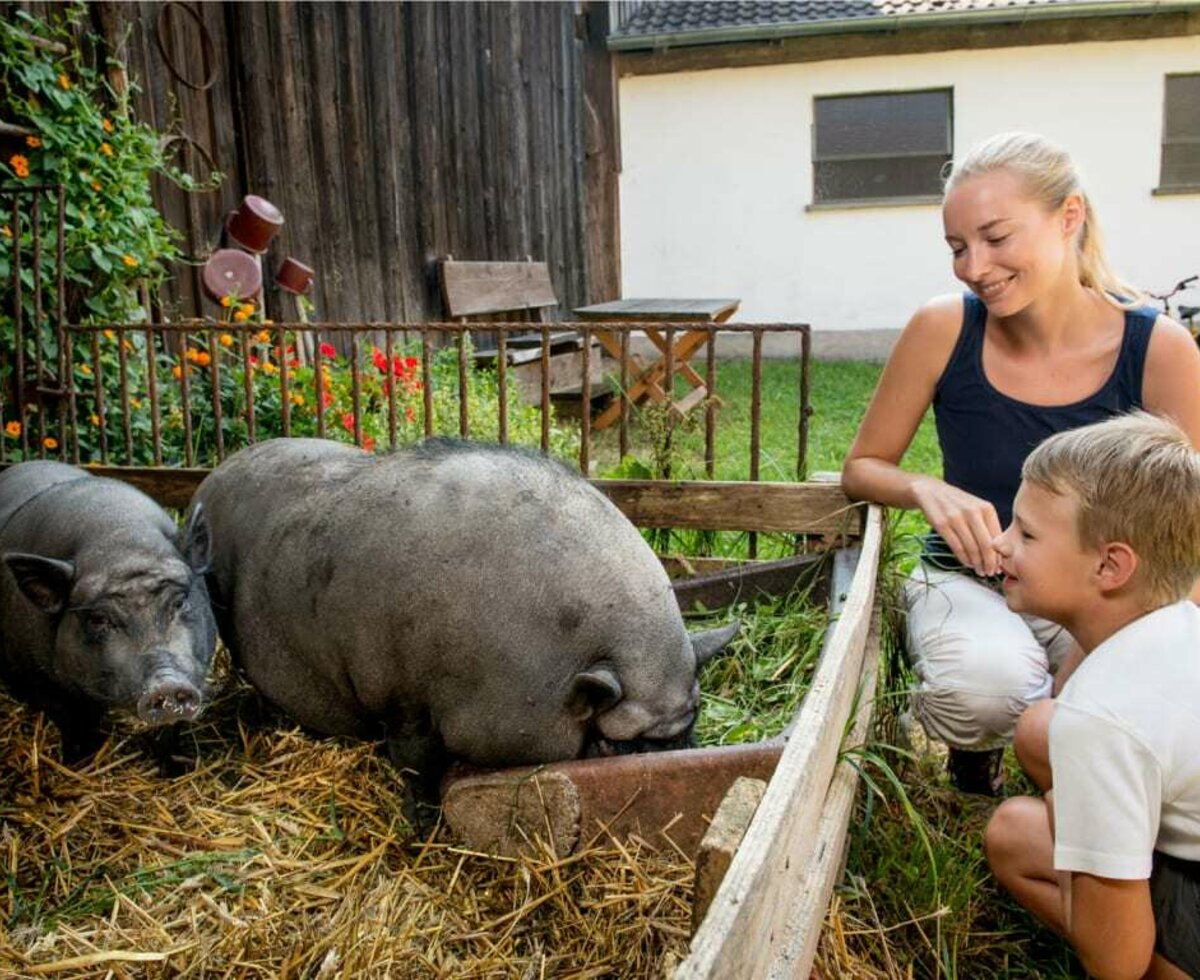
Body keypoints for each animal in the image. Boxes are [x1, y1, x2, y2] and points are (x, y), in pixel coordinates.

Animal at [0, 460, 218, 758]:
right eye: (98, 618)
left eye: (180, 602)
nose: (168, 683)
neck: (120, 541)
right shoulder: (33, 680)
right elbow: (73, 723)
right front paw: (78, 760)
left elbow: (170, 732)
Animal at [192, 436, 734, 810]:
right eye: (612, 743)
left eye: (692, 724)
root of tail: (216, 473)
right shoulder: (399, 695)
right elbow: (415, 766)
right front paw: (421, 828)